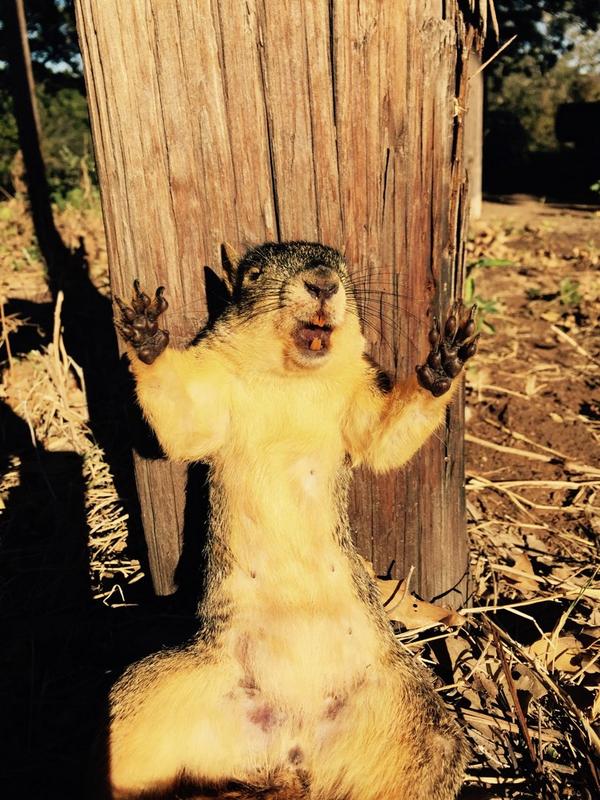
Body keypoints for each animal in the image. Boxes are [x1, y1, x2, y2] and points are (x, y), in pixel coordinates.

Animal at [109, 241, 478, 800]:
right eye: (253, 274)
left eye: (344, 268)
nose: (324, 282)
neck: (292, 377)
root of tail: (293, 751)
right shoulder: (211, 397)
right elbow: (185, 426)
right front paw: (147, 335)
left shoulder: (357, 405)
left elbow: (383, 440)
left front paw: (443, 364)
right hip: (148, 708)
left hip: (417, 730)